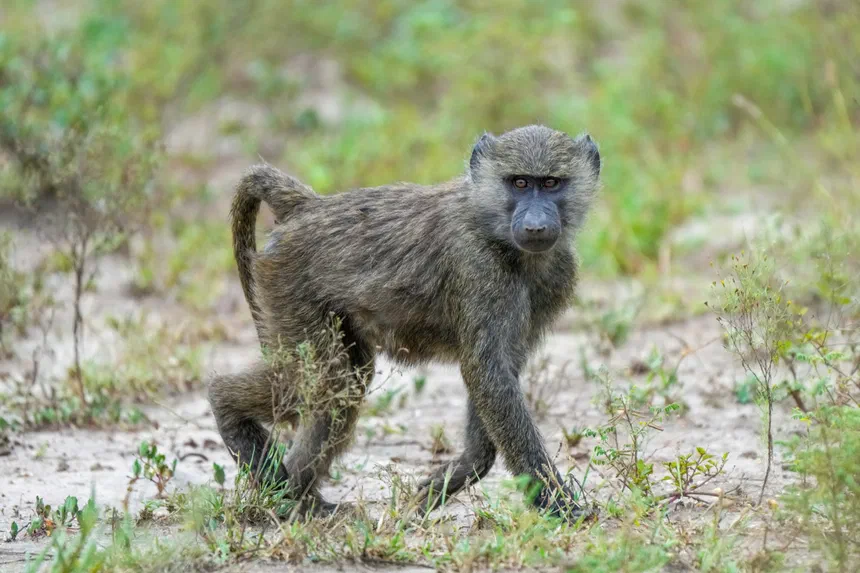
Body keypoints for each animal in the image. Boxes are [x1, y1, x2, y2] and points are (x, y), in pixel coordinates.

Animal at [207, 124, 601, 520]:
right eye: (519, 183)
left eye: (551, 183)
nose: (536, 226)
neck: (497, 231)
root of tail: (309, 206)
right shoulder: (478, 269)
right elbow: (488, 374)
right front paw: (561, 507)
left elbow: (498, 373)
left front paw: (450, 479)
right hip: (289, 287)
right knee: (323, 381)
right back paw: (234, 418)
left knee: (344, 386)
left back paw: (300, 500)